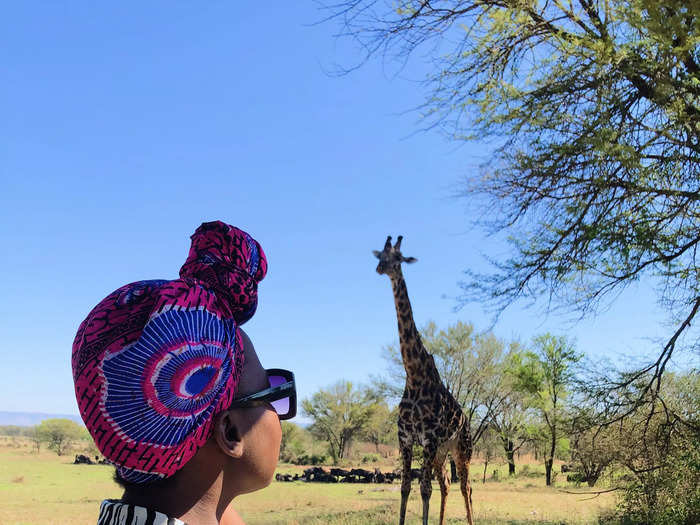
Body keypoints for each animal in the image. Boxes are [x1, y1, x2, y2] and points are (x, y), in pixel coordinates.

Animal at [372, 235, 476, 520]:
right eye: (380, 255)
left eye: (399, 258)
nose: (381, 269)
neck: (414, 375)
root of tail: (466, 419)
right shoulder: (406, 439)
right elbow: (406, 487)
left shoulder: (428, 440)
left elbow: (424, 489)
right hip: (441, 454)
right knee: (446, 484)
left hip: (462, 449)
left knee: (466, 487)